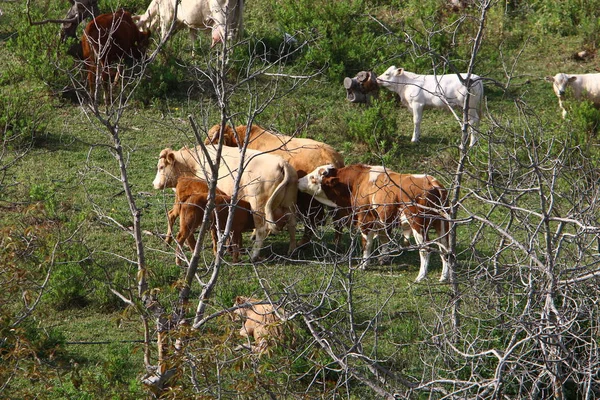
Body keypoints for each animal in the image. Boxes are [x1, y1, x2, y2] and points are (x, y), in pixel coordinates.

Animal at [152, 145, 298, 260]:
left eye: (161, 167)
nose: (154, 184)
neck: (194, 164)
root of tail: (281, 163)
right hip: (289, 205)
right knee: (292, 224)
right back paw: (291, 250)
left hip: (259, 207)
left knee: (262, 230)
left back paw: (253, 255)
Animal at [300, 162, 450, 282]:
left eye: (313, 177)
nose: (299, 180)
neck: (357, 181)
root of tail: (433, 183)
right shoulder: (382, 221)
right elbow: (384, 240)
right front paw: (383, 259)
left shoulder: (365, 219)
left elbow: (366, 244)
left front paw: (363, 265)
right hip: (442, 224)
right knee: (445, 249)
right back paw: (444, 276)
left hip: (418, 224)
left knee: (425, 249)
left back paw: (421, 276)